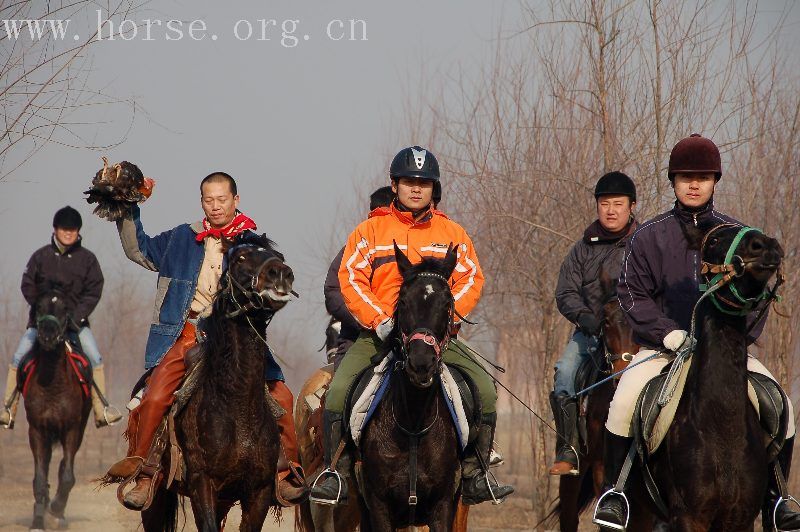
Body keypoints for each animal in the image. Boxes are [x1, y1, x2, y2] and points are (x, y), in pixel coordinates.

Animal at [24, 290, 92, 532]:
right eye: (39, 307)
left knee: (63, 466)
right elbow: (39, 478)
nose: (48, 336)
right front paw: (37, 521)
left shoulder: (71, 429)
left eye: (64, 309)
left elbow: (68, 476)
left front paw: (56, 509)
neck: (52, 385)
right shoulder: (37, 430)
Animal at [142, 237, 296, 532]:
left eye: (280, 256)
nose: (281, 273)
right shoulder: (202, 484)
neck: (236, 405)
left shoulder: (258, 491)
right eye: (240, 257)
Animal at [356, 243, 462, 528]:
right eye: (403, 301)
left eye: (447, 303)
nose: (421, 362)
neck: (413, 423)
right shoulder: (378, 506)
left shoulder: (443, 505)